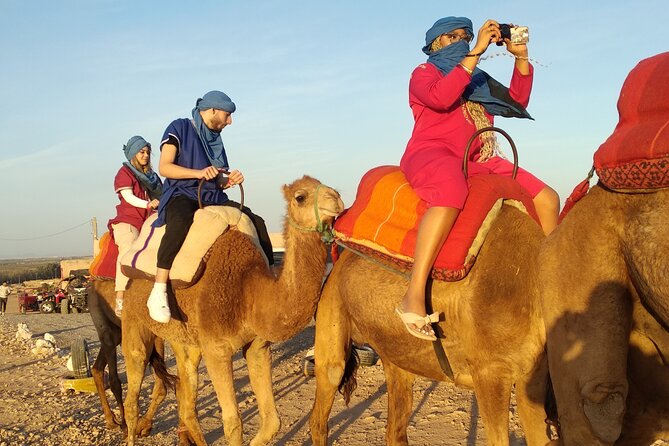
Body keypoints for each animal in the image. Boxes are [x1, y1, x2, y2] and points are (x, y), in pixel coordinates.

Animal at [120, 176, 344, 446]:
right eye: (300, 197)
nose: (336, 199)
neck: (248, 292)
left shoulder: (258, 346)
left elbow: (272, 422)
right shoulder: (217, 350)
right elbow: (233, 424)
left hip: (184, 339)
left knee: (186, 396)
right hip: (132, 320)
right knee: (133, 390)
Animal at [309, 204, 557, 446]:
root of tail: (337, 263)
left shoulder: (533, 373)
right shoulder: (490, 371)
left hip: (395, 354)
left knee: (395, 429)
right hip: (332, 315)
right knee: (324, 400)